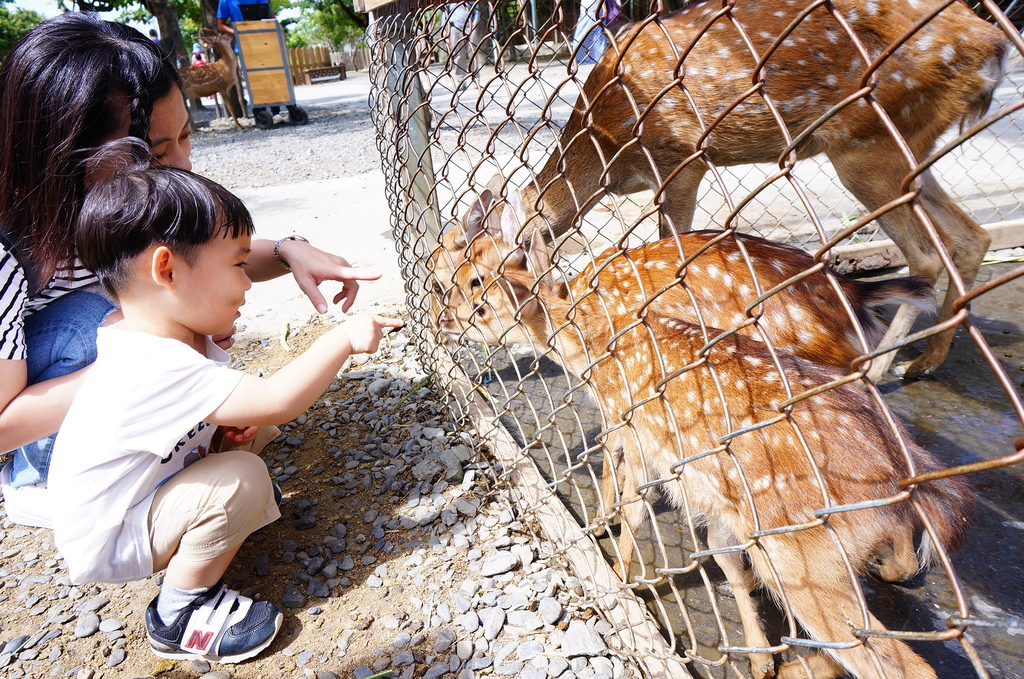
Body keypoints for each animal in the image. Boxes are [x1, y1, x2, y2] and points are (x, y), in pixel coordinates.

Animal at [432, 0, 1007, 383]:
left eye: (466, 279)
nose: (441, 325)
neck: (607, 155)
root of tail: (993, 47)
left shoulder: (681, 160)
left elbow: (671, 241)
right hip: (909, 145)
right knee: (970, 235)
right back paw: (925, 360)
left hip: (868, 142)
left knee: (927, 254)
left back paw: (879, 367)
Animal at [440, 244, 974, 679]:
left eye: (481, 302)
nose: (445, 321)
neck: (592, 341)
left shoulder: (634, 429)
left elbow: (630, 498)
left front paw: (614, 565)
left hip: (804, 556)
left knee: (895, 661)